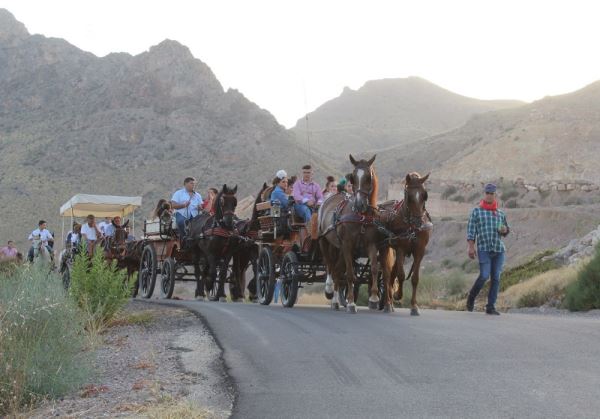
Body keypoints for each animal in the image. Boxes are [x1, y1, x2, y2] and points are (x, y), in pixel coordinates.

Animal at [316, 154, 382, 312]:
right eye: (353, 178)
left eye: (368, 177)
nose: (359, 204)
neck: (362, 216)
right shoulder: (348, 245)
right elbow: (350, 275)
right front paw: (351, 302)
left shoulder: (371, 244)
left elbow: (374, 269)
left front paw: (374, 299)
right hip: (325, 242)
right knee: (330, 266)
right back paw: (329, 290)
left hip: (339, 249)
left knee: (337, 271)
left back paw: (335, 301)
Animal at [380, 171, 432, 316]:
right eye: (409, 196)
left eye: (424, 195)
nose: (418, 222)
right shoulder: (401, 248)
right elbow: (402, 275)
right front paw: (398, 294)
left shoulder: (420, 250)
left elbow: (415, 278)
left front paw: (414, 306)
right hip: (385, 247)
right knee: (386, 274)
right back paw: (387, 303)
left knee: (392, 273)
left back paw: (390, 302)